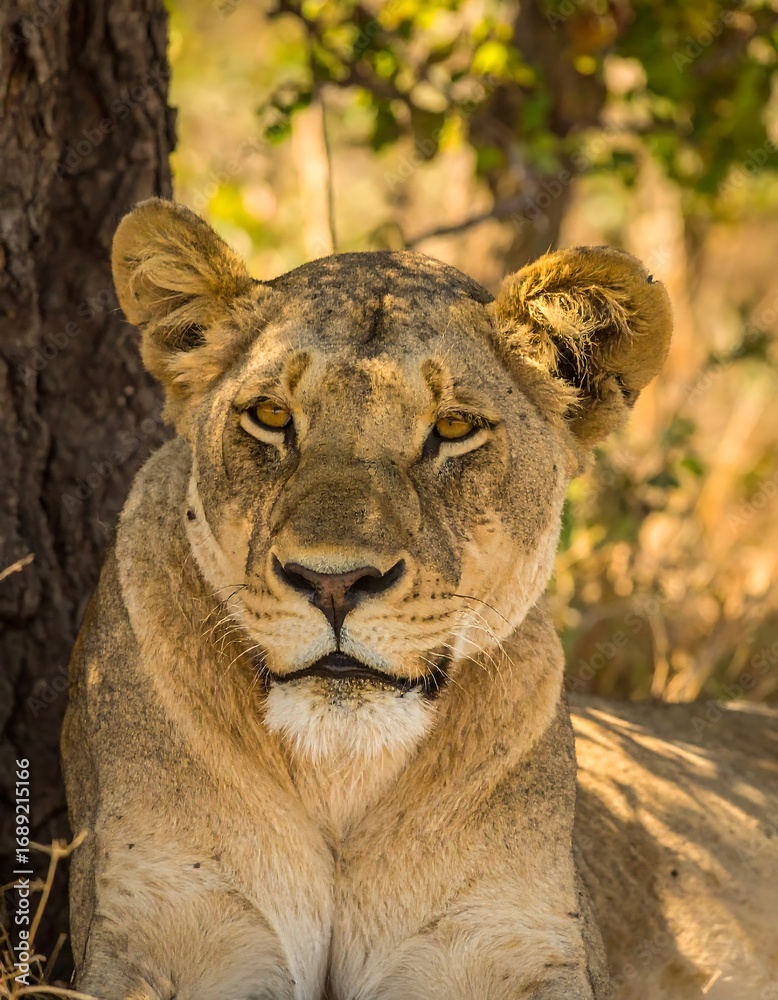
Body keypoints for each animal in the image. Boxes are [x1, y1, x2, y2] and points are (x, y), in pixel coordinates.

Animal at [62, 199, 778, 1000]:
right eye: (271, 416)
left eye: (455, 428)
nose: (334, 582)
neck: (340, 776)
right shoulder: (154, 923)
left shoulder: (514, 938)